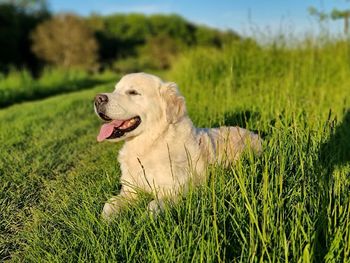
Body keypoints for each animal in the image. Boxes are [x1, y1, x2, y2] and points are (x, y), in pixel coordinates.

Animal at [94, 73, 262, 220]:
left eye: (133, 92)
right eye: (115, 89)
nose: (97, 99)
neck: (152, 142)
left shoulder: (176, 190)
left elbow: (153, 206)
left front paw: (143, 220)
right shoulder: (130, 190)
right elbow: (109, 204)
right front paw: (106, 221)